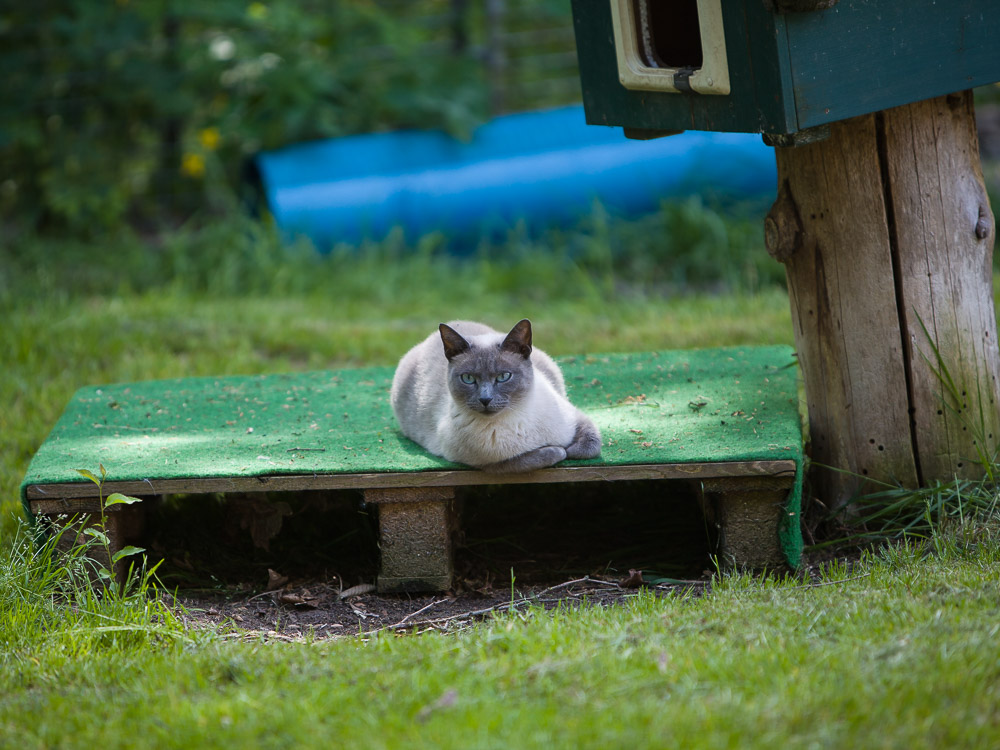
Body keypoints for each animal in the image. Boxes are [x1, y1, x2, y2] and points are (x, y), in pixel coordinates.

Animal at [390, 320, 600, 472]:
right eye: (468, 378)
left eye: (503, 376)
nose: (485, 399)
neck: (515, 420)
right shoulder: (485, 463)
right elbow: (542, 455)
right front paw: (558, 450)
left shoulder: (575, 418)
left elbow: (589, 446)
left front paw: (570, 449)